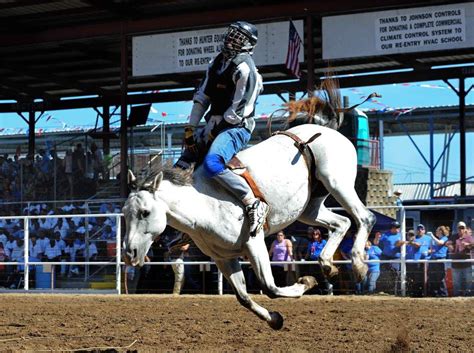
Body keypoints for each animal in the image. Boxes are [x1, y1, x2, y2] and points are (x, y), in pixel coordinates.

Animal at [124, 120, 376, 328]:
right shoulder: (223, 257)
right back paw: (327, 264)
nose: (130, 253)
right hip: (309, 208)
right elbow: (243, 296)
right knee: (342, 222)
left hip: (337, 183)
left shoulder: (254, 242)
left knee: (364, 217)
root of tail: (330, 131)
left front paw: (305, 282)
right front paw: (275, 319)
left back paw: (358, 265)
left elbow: (270, 287)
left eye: (145, 212)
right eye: (125, 214)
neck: (203, 204)